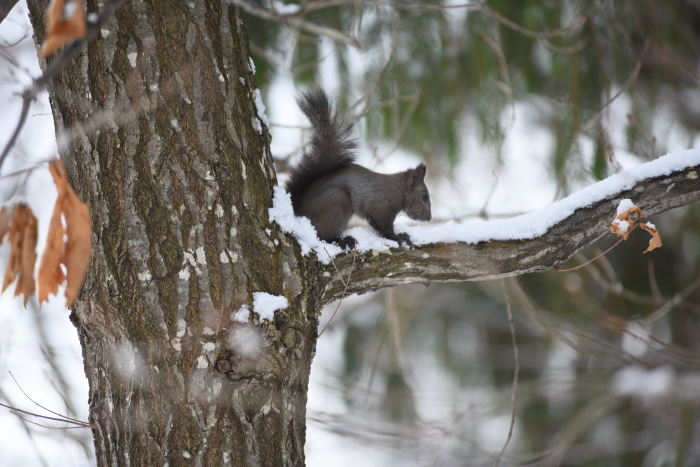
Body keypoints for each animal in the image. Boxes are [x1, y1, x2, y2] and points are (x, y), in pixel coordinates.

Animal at [286, 87, 432, 249]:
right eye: (424, 197)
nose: (429, 218)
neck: (399, 191)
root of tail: (299, 211)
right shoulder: (380, 206)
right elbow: (383, 227)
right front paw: (398, 238)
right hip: (337, 201)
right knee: (322, 235)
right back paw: (342, 240)